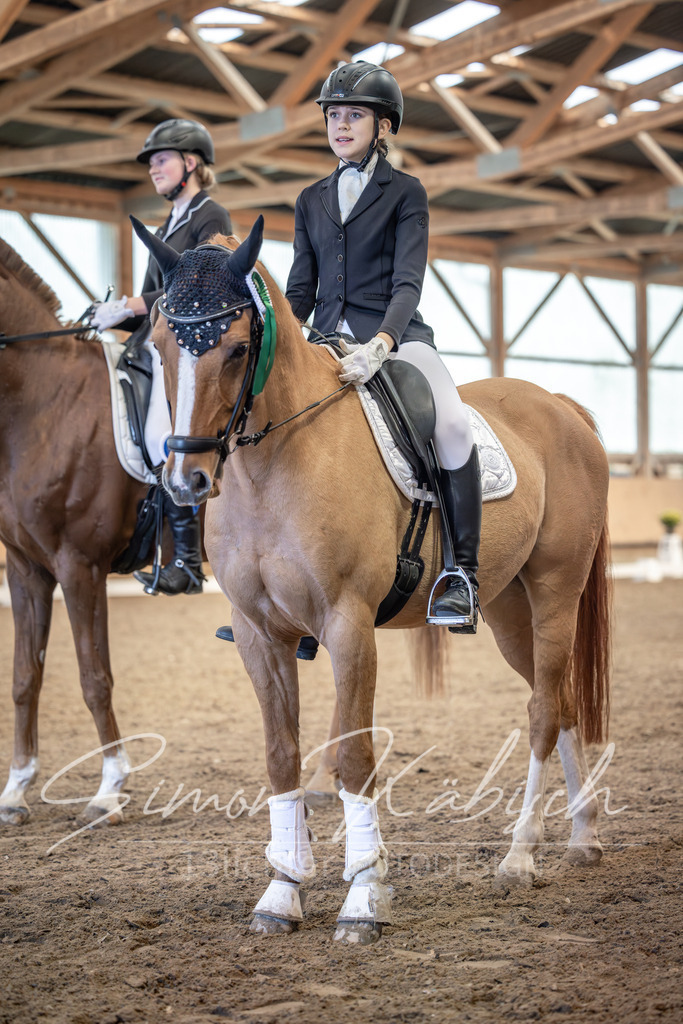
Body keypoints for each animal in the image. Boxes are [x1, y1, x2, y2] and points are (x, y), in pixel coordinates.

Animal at [0, 239, 150, 825]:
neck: (42, 399)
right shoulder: (28, 568)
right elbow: (25, 678)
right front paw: (16, 789)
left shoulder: (78, 564)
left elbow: (94, 678)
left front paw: (109, 788)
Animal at [132, 215, 612, 945]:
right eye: (159, 344)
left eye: (239, 349)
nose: (186, 480)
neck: (274, 464)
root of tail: (558, 403)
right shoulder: (258, 633)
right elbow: (280, 754)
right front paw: (281, 893)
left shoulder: (348, 623)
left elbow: (354, 758)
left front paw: (362, 899)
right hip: (508, 610)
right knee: (557, 702)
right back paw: (581, 838)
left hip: (556, 590)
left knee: (539, 711)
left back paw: (520, 856)